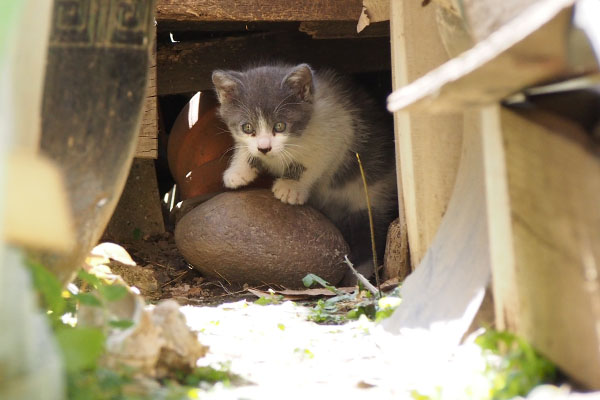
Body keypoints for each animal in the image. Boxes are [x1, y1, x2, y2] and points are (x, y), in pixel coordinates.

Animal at [212, 63, 398, 282]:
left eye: (280, 126)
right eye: (247, 127)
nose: (265, 147)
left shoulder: (337, 134)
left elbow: (312, 163)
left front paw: (290, 187)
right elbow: (245, 148)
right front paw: (238, 172)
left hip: (370, 195)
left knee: (368, 231)